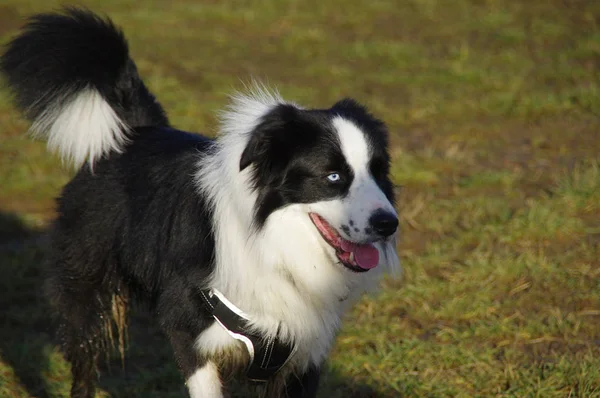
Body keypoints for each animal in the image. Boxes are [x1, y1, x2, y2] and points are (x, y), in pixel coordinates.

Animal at [3, 7, 404, 396]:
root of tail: (133, 132)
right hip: (86, 293)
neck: (274, 245)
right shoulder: (189, 332)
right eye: (333, 177)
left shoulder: (302, 355)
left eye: (378, 171)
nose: (389, 224)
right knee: (84, 365)